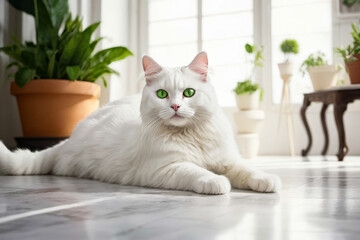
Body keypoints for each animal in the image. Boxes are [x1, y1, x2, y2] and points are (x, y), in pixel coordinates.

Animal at [0, 53, 282, 195]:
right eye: (162, 94)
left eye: (189, 93)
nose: (175, 107)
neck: (191, 136)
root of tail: (70, 138)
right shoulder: (166, 168)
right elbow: (196, 172)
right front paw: (216, 182)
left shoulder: (227, 160)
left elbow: (246, 170)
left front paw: (266, 180)